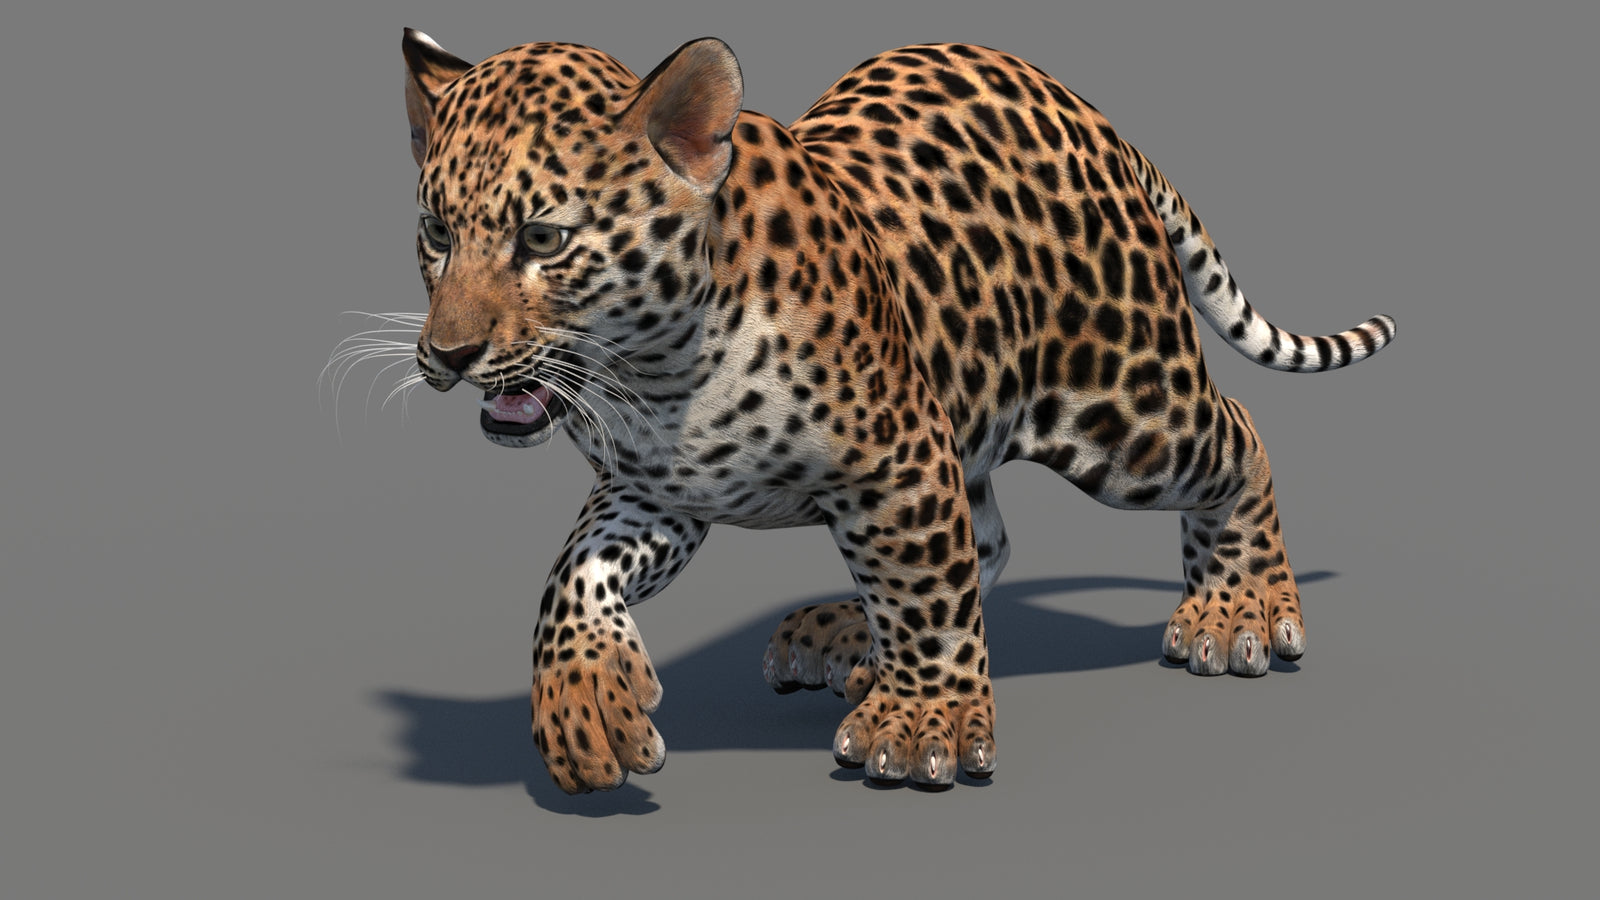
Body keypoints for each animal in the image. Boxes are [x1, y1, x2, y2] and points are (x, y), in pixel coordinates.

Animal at [391, 28, 1395, 793]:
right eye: (436, 233)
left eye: (543, 238)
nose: (448, 354)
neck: (657, 374)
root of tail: (1087, 112)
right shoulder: (656, 493)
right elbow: (572, 573)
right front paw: (586, 705)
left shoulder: (897, 460)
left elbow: (926, 587)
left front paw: (924, 726)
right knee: (985, 538)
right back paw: (848, 637)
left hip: (1126, 410)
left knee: (1239, 433)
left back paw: (1241, 609)